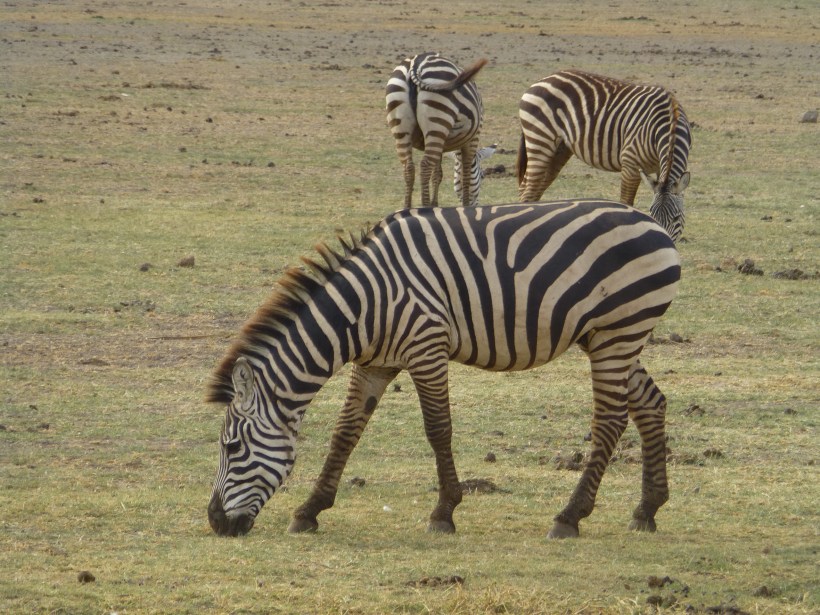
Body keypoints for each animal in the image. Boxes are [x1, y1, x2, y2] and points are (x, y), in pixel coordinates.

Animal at [206, 199, 680, 540]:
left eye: (233, 447)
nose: (215, 522)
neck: (363, 307)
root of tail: (653, 225)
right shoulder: (376, 363)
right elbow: (346, 432)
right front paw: (309, 511)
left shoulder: (426, 346)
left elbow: (438, 428)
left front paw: (444, 512)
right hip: (610, 337)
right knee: (651, 403)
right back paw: (648, 509)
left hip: (618, 332)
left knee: (611, 420)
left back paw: (569, 517)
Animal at [385, 52, 487, 208]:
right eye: (482, 176)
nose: (476, 204)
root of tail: (416, 63)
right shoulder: (473, 138)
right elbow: (466, 173)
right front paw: (465, 206)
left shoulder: (442, 143)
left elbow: (438, 174)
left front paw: (435, 204)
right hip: (438, 121)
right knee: (425, 166)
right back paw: (425, 206)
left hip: (402, 129)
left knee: (409, 167)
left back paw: (407, 208)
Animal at [517, 69, 692, 241]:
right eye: (652, 214)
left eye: (677, 218)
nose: (666, 240)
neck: (669, 123)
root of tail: (542, 80)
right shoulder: (630, 164)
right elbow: (627, 202)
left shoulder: (659, 169)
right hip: (540, 140)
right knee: (529, 190)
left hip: (559, 150)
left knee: (531, 188)